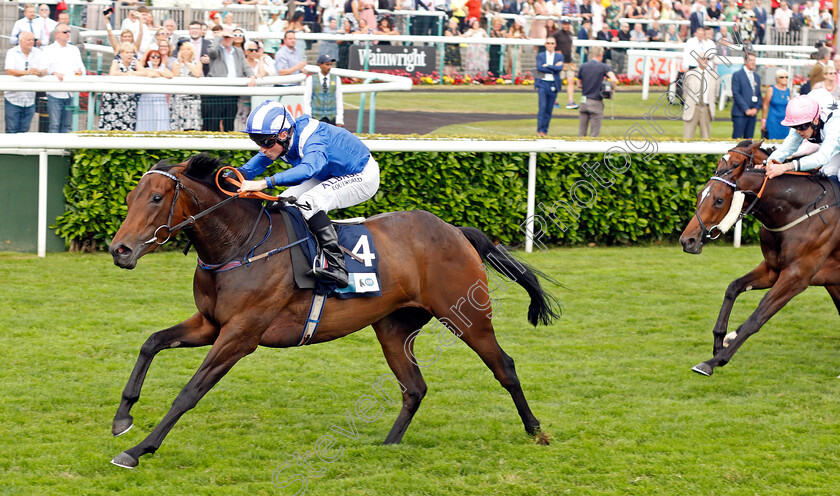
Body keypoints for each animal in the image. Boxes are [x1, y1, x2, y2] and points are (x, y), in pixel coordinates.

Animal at [108, 154, 560, 468]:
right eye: (130, 198)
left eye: (156, 198)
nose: (120, 250)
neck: (242, 245)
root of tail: (454, 230)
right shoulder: (210, 324)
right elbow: (151, 343)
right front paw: (122, 418)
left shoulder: (241, 334)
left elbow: (190, 391)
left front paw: (138, 449)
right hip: (393, 328)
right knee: (414, 387)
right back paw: (389, 444)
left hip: (465, 316)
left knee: (504, 367)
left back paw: (536, 431)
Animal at [680, 141, 840, 378]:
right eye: (700, 195)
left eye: (719, 200)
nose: (687, 241)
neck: (799, 210)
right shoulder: (773, 269)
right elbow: (733, 287)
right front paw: (720, 341)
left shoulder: (797, 277)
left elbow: (757, 317)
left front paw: (714, 361)